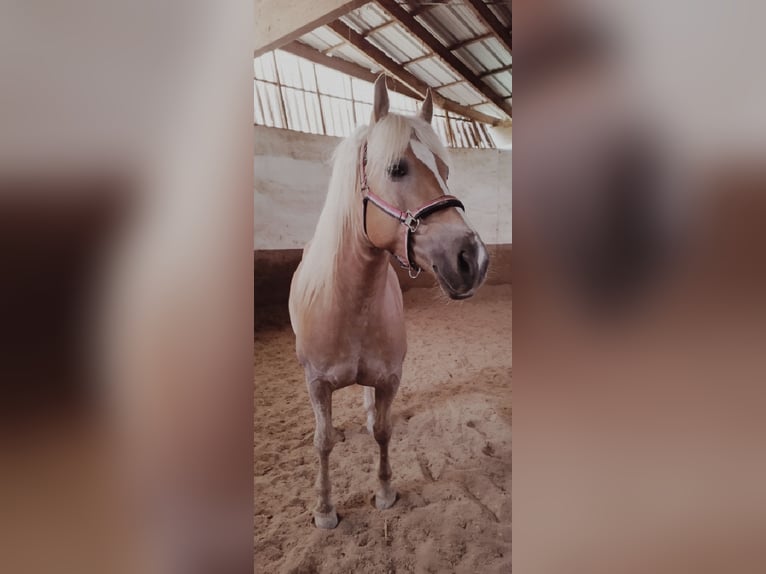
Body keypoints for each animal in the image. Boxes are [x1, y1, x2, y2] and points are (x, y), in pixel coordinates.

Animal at [288, 75, 492, 532]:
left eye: (446, 171)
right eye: (397, 168)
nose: (473, 260)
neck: (348, 303)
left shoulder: (388, 379)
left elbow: (383, 432)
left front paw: (384, 492)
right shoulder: (317, 383)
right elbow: (322, 441)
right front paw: (324, 510)